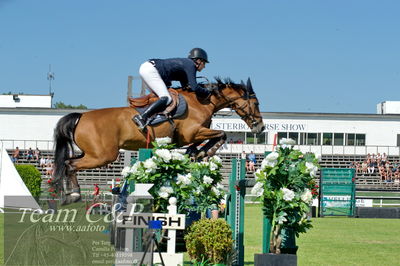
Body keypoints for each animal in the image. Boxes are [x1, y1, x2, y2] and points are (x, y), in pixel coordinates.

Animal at [53, 78, 266, 201]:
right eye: (256, 103)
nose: (261, 127)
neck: (202, 101)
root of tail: (81, 117)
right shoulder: (193, 132)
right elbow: (221, 134)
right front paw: (207, 151)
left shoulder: (192, 135)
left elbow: (205, 141)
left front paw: (197, 153)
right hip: (103, 156)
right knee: (70, 164)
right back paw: (74, 194)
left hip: (92, 153)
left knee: (67, 162)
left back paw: (67, 193)